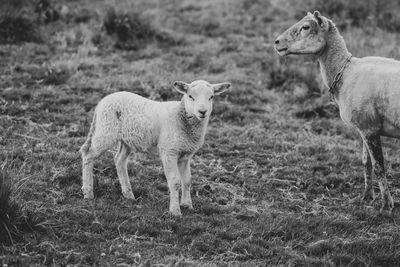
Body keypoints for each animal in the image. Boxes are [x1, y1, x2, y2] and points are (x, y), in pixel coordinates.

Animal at [79, 80, 231, 217]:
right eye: (190, 96)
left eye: (211, 97)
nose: (202, 112)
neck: (181, 117)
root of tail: (102, 102)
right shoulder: (169, 151)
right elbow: (175, 182)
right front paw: (175, 211)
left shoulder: (185, 154)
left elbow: (187, 180)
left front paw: (187, 205)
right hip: (106, 131)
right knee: (88, 155)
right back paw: (88, 192)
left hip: (127, 139)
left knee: (119, 160)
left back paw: (128, 194)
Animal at [274, 11, 400, 215]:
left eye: (306, 27)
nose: (276, 42)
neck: (345, 72)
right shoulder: (364, 128)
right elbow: (366, 162)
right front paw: (366, 197)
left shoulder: (370, 127)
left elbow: (379, 166)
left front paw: (386, 206)